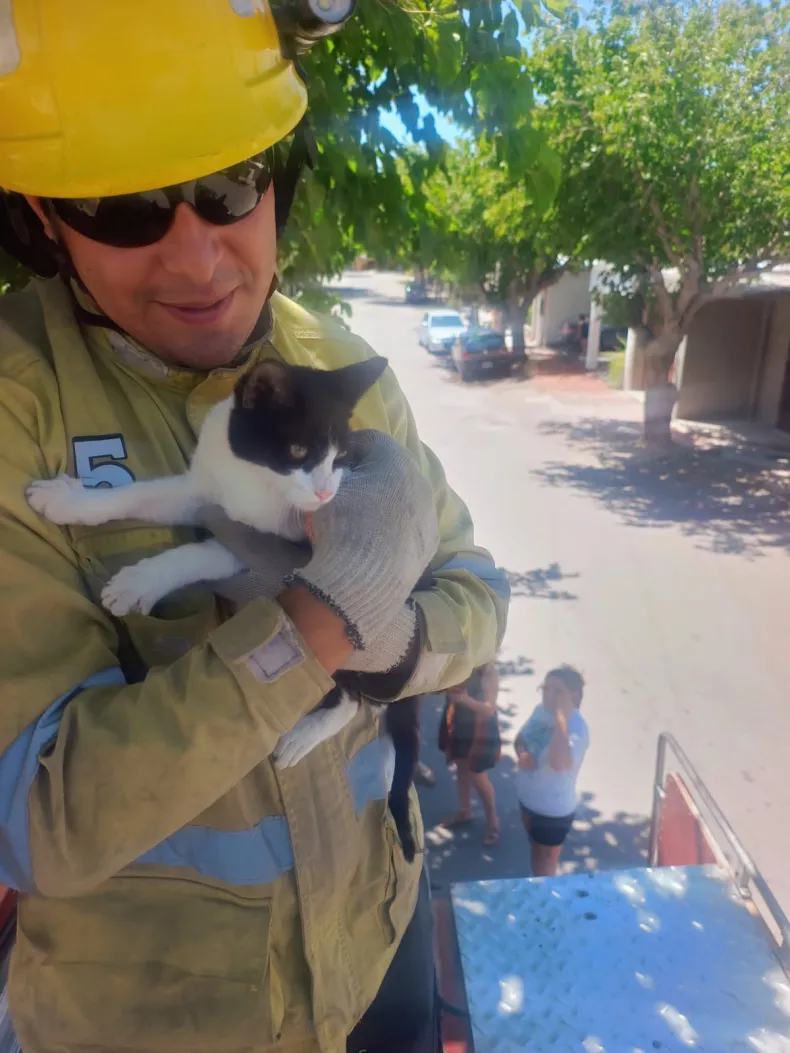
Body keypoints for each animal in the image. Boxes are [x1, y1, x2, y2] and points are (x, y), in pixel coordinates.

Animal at [27, 355, 421, 862]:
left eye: (341, 458)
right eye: (298, 449)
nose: (324, 495)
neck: (253, 477)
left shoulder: (280, 546)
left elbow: (207, 552)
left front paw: (138, 582)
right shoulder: (205, 488)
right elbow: (143, 495)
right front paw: (70, 500)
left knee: (353, 697)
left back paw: (302, 736)